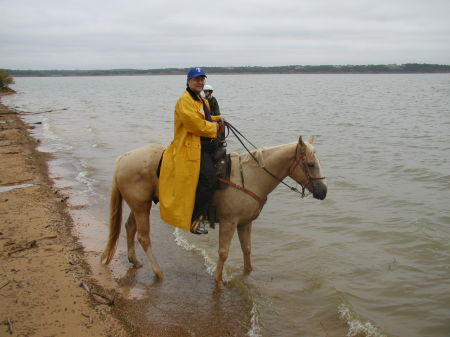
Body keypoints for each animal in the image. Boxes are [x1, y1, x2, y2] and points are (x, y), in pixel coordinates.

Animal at [101, 135, 326, 288]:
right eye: (310, 164)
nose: (323, 192)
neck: (250, 176)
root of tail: (124, 158)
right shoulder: (229, 222)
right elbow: (224, 252)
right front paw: (218, 280)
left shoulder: (245, 223)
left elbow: (247, 249)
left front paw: (248, 274)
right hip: (141, 207)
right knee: (144, 237)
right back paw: (159, 272)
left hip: (140, 204)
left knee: (130, 228)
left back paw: (135, 260)